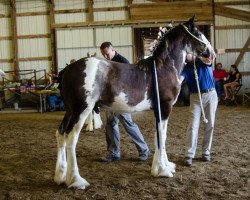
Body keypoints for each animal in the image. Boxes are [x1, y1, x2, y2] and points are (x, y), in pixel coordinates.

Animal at [54, 17, 215, 189]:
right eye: (198, 32)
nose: (211, 54)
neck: (165, 67)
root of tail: (67, 69)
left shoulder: (159, 110)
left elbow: (161, 135)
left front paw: (165, 166)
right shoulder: (165, 107)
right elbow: (162, 134)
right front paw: (162, 170)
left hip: (70, 111)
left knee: (61, 134)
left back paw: (60, 176)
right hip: (82, 110)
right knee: (71, 138)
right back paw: (76, 180)